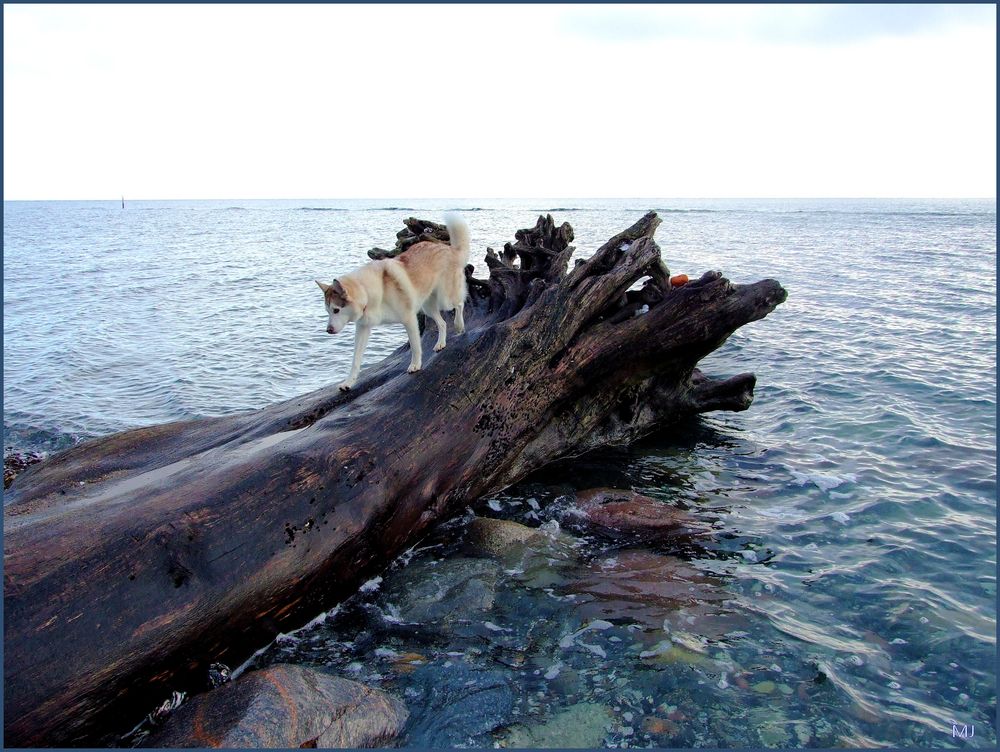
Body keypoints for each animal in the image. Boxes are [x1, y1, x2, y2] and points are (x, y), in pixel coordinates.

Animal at [314, 212, 470, 388]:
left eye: (336, 310)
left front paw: (415, 365)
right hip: (428, 307)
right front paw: (349, 382)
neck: (368, 293)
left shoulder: (409, 319)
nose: (328, 330)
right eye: (328, 311)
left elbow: (415, 346)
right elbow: (355, 359)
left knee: (460, 303)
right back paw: (440, 344)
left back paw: (459, 325)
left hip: (445, 298)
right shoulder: (363, 328)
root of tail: (449, 248)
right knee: (442, 323)